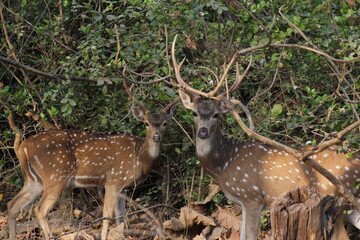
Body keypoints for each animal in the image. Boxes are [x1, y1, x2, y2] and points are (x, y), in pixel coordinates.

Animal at [7, 79, 179, 240]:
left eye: (165, 123)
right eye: (146, 123)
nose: (156, 137)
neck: (140, 158)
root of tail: (23, 147)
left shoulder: (123, 186)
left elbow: (122, 218)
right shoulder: (113, 180)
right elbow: (107, 216)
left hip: (34, 180)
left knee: (13, 205)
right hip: (55, 176)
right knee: (40, 209)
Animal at [172, 34, 360, 239]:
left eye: (216, 115)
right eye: (195, 113)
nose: (203, 132)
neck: (223, 164)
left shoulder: (252, 197)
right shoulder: (243, 203)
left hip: (336, 197)